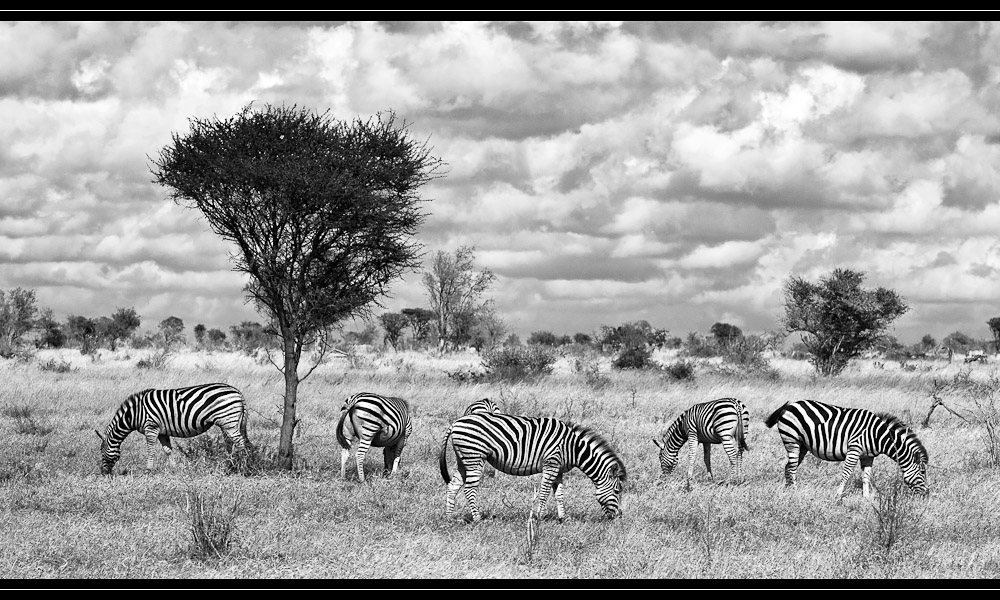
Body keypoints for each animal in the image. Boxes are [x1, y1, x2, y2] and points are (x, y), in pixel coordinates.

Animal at [94, 382, 250, 476]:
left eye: (101, 451)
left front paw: (148, 470)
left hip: (229, 421)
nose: (103, 472)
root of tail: (237, 392)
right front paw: (174, 469)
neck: (134, 414)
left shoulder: (151, 428)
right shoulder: (162, 432)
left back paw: (242, 468)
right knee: (230, 444)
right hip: (226, 423)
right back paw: (229, 466)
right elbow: (167, 450)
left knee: (241, 444)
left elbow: (150, 450)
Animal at [438, 414, 624, 524]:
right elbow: (544, 492)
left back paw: (450, 517)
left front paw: (563, 518)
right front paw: (538, 517)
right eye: (617, 491)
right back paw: (478, 519)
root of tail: (456, 423)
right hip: (474, 457)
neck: (573, 448)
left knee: (453, 486)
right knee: (469, 489)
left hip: (463, 459)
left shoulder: (558, 469)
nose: (619, 517)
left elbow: (559, 494)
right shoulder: (551, 464)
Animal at [764, 398, 928, 502]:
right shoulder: (854, 449)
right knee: (791, 467)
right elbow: (846, 474)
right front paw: (838, 495)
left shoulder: (868, 456)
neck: (878, 435)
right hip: (791, 440)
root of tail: (789, 405)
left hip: (802, 445)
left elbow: (866, 476)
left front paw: (866, 498)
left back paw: (788, 489)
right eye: (923, 472)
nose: (927, 494)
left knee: (788, 466)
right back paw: (795, 491)